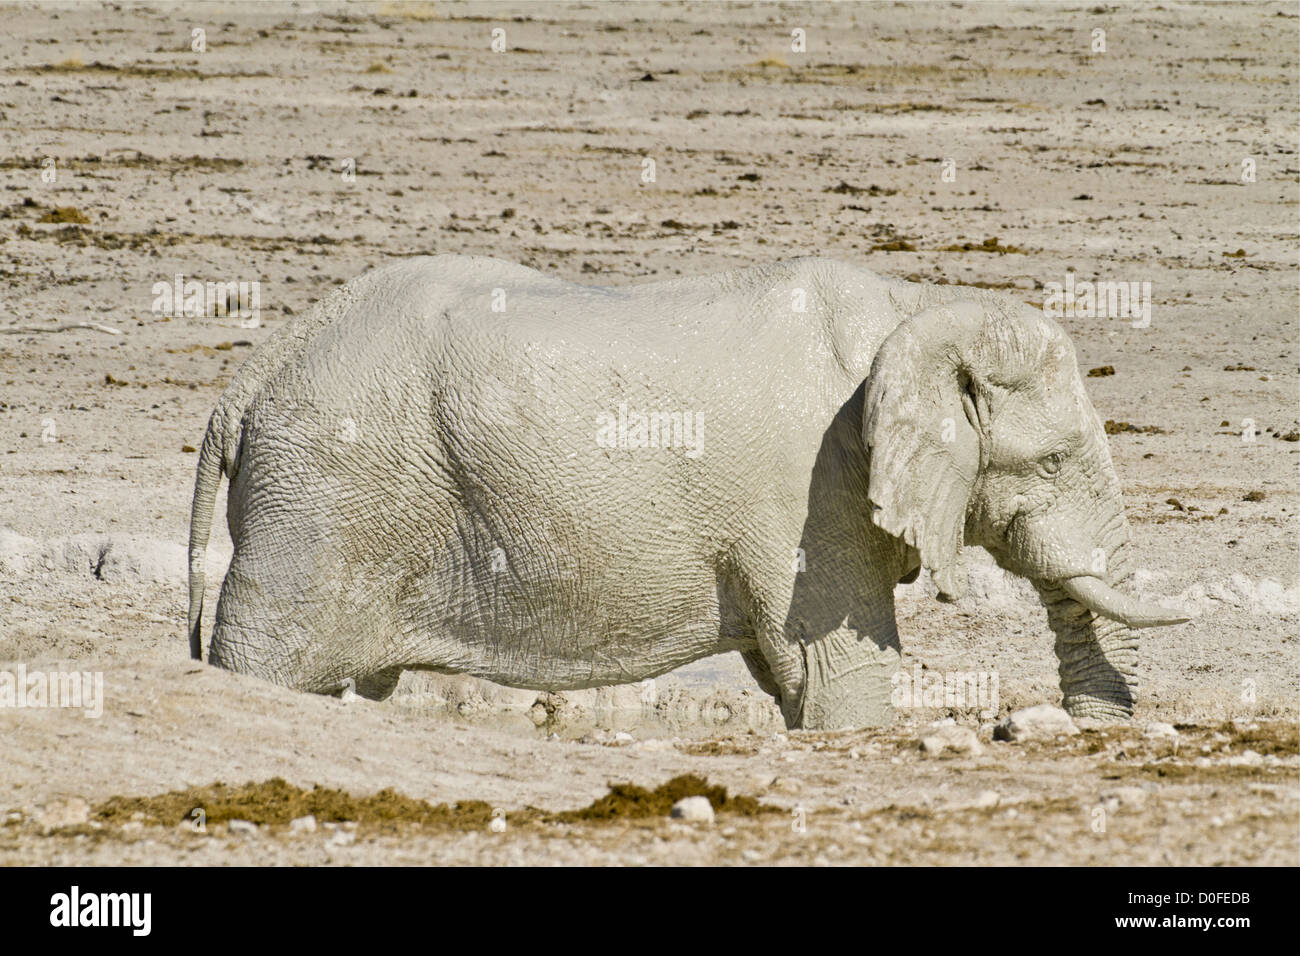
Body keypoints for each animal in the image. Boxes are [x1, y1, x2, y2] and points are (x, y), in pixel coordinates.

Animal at [185, 257, 1190, 728]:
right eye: (1052, 462)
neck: (917, 309)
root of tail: (245, 383)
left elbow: (794, 679)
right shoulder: (809, 497)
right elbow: (837, 678)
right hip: (319, 501)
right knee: (263, 662)